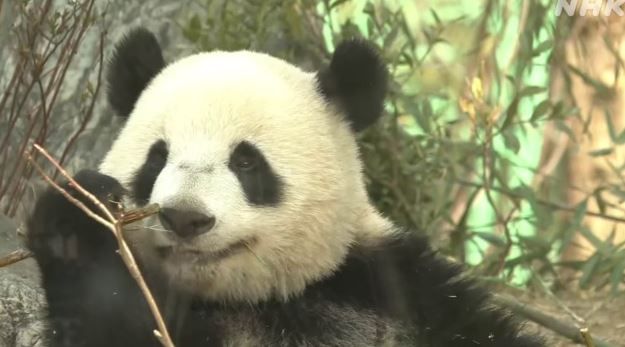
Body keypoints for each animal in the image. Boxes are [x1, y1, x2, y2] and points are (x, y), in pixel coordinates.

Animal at [26, 27, 540, 347]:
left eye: (246, 161)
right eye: (157, 158)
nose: (185, 218)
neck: (264, 299)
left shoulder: (401, 293)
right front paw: (76, 222)